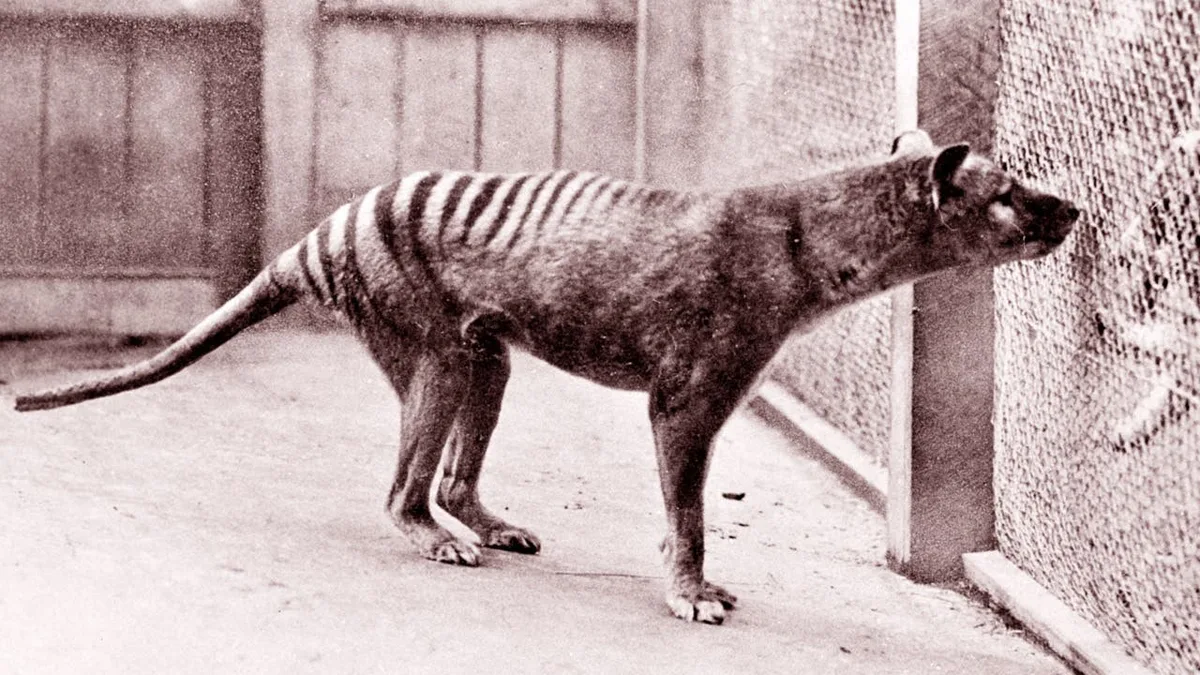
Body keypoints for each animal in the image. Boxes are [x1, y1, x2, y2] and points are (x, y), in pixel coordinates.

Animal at [14, 129, 1080, 625]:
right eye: (1007, 193)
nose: (1072, 208)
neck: (805, 237)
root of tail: (323, 233)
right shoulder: (688, 395)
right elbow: (689, 510)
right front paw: (691, 590)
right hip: (436, 350)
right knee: (404, 489)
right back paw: (437, 540)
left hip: (485, 353)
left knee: (452, 474)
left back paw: (484, 522)